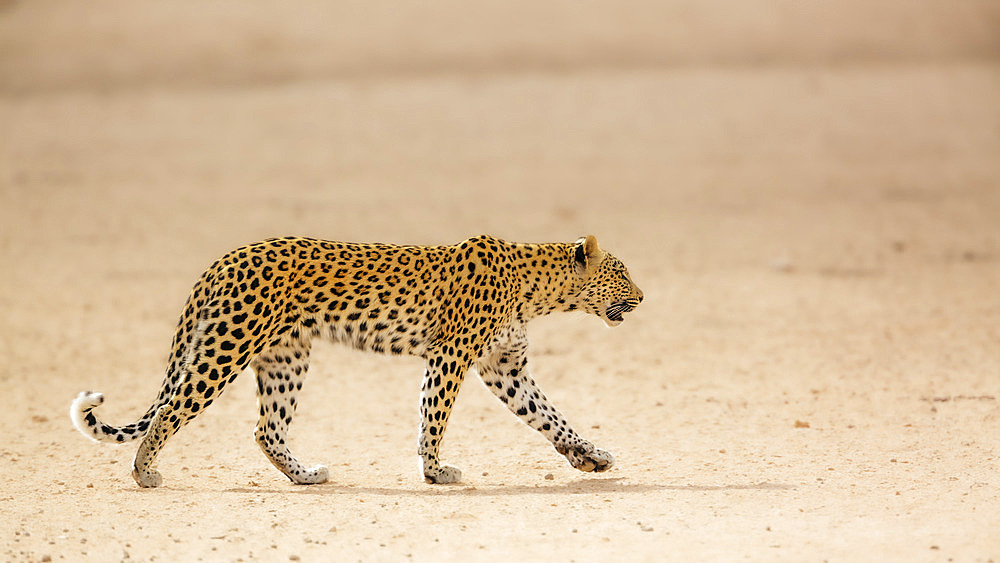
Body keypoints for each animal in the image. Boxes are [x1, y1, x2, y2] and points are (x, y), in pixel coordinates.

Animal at [72, 236, 648, 486]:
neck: (537, 290)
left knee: (266, 429)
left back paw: (304, 475)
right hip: (227, 347)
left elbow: (550, 416)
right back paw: (144, 471)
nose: (643, 296)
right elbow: (433, 417)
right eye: (621, 272)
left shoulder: (503, 367)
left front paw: (589, 457)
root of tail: (221, 260)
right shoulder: (452, 355)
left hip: (286, 357)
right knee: (172, 410)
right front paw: (435, 472)